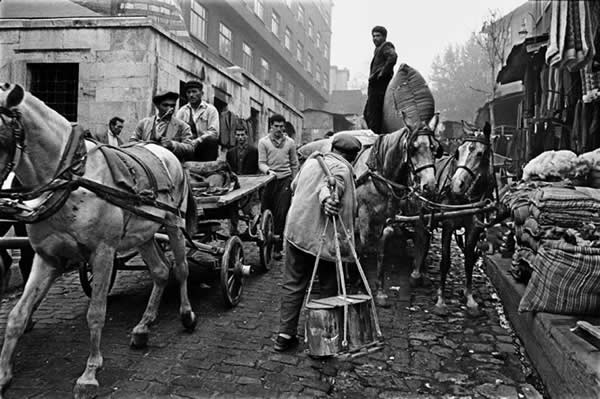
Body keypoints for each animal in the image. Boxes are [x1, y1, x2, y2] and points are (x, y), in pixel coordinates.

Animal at [0, 83, 199, 398]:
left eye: (1, 137)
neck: (72, 179)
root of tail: (163, 150)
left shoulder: (104, 252)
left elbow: (96, 312)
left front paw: (89, 374)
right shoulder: (48, 257)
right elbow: (17, 314)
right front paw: (4, 374)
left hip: (173, 223)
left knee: (180, 269)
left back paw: (187, 314)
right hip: (144, 232)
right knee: (160, 271)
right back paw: (143, 327)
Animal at [434, 122, 494, 318]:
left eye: (480, 153)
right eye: (457, 152)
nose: (455, 185)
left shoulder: (474, 227)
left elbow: (468, 260)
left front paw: (470, 298)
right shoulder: (447, 224)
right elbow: (445, 261)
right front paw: (441, 300)